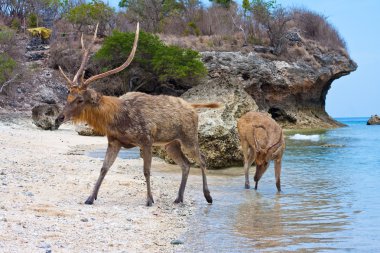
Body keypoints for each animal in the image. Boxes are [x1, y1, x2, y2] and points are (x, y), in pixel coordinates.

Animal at [54, 22, 220, 207]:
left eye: (80, 99)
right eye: (68, 95)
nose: (59, 118)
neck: (118, 120)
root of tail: (192, 106)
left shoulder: (146, 140)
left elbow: (146, 171)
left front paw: (149, 200)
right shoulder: (114, 141)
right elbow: (104, 168)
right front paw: (90, 197)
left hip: (189, 137)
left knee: (202, 159)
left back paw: (208, 196)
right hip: (171, 143)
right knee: (186, 164)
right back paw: (178, 198)